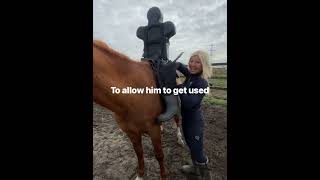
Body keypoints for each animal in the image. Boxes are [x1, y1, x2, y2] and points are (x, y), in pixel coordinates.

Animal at [93, 40, 182, 179]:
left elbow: (159, 154)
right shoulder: (131, 132)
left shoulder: (153, 129)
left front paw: (163, 176)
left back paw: (180, 138)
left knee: (177, 120)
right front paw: (140, 175)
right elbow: (139, 153)